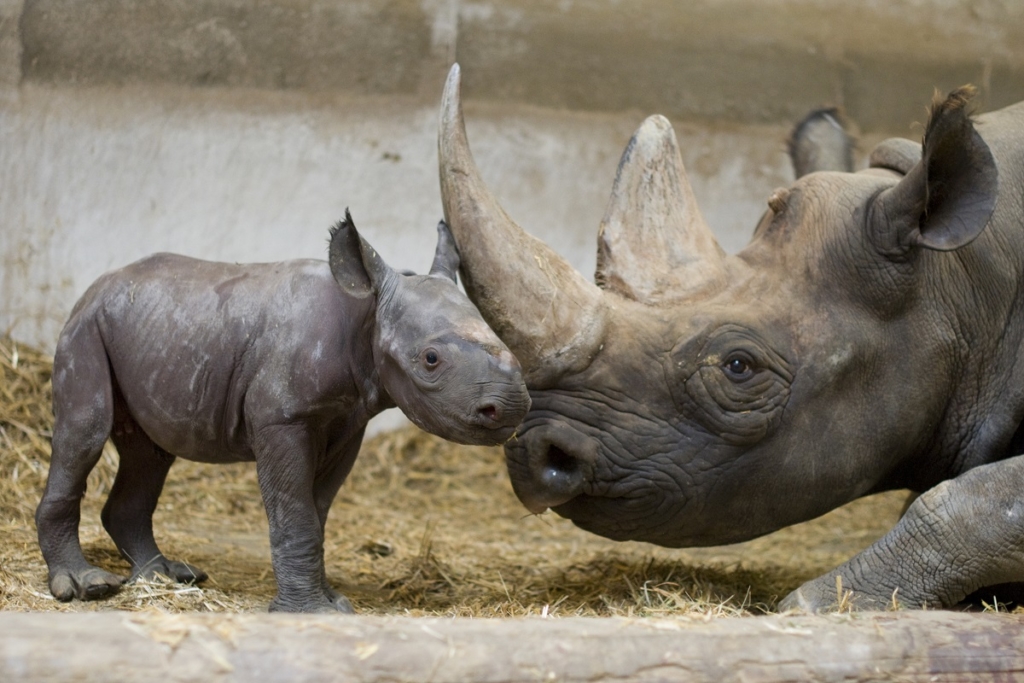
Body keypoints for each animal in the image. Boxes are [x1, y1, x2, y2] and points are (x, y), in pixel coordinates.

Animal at [34, 211, 528, 614]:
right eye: (430, 360)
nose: (511, 406)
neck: (367, 316)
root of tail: (97, 286)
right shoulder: (281, 417)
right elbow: (295, 511)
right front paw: (312, 613)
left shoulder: (348, 423)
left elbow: (317, 511)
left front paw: (333, 602)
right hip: (85, 327)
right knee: (86, 431)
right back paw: (86, 587)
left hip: (144, 327)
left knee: (150, 454)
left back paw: (165, 577)